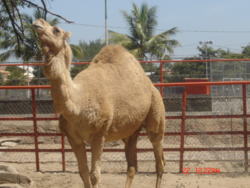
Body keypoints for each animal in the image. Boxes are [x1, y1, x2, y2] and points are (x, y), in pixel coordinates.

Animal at [33, 18, 166, 188]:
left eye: (56, 29)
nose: (37, 22)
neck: (80, 103)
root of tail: (152, 86)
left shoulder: (99, 133)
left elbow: (95, 175)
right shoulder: (73, 137)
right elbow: (83, 172)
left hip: (156, 114)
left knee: (159, 159)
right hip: (130, 131)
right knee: (132, 166)